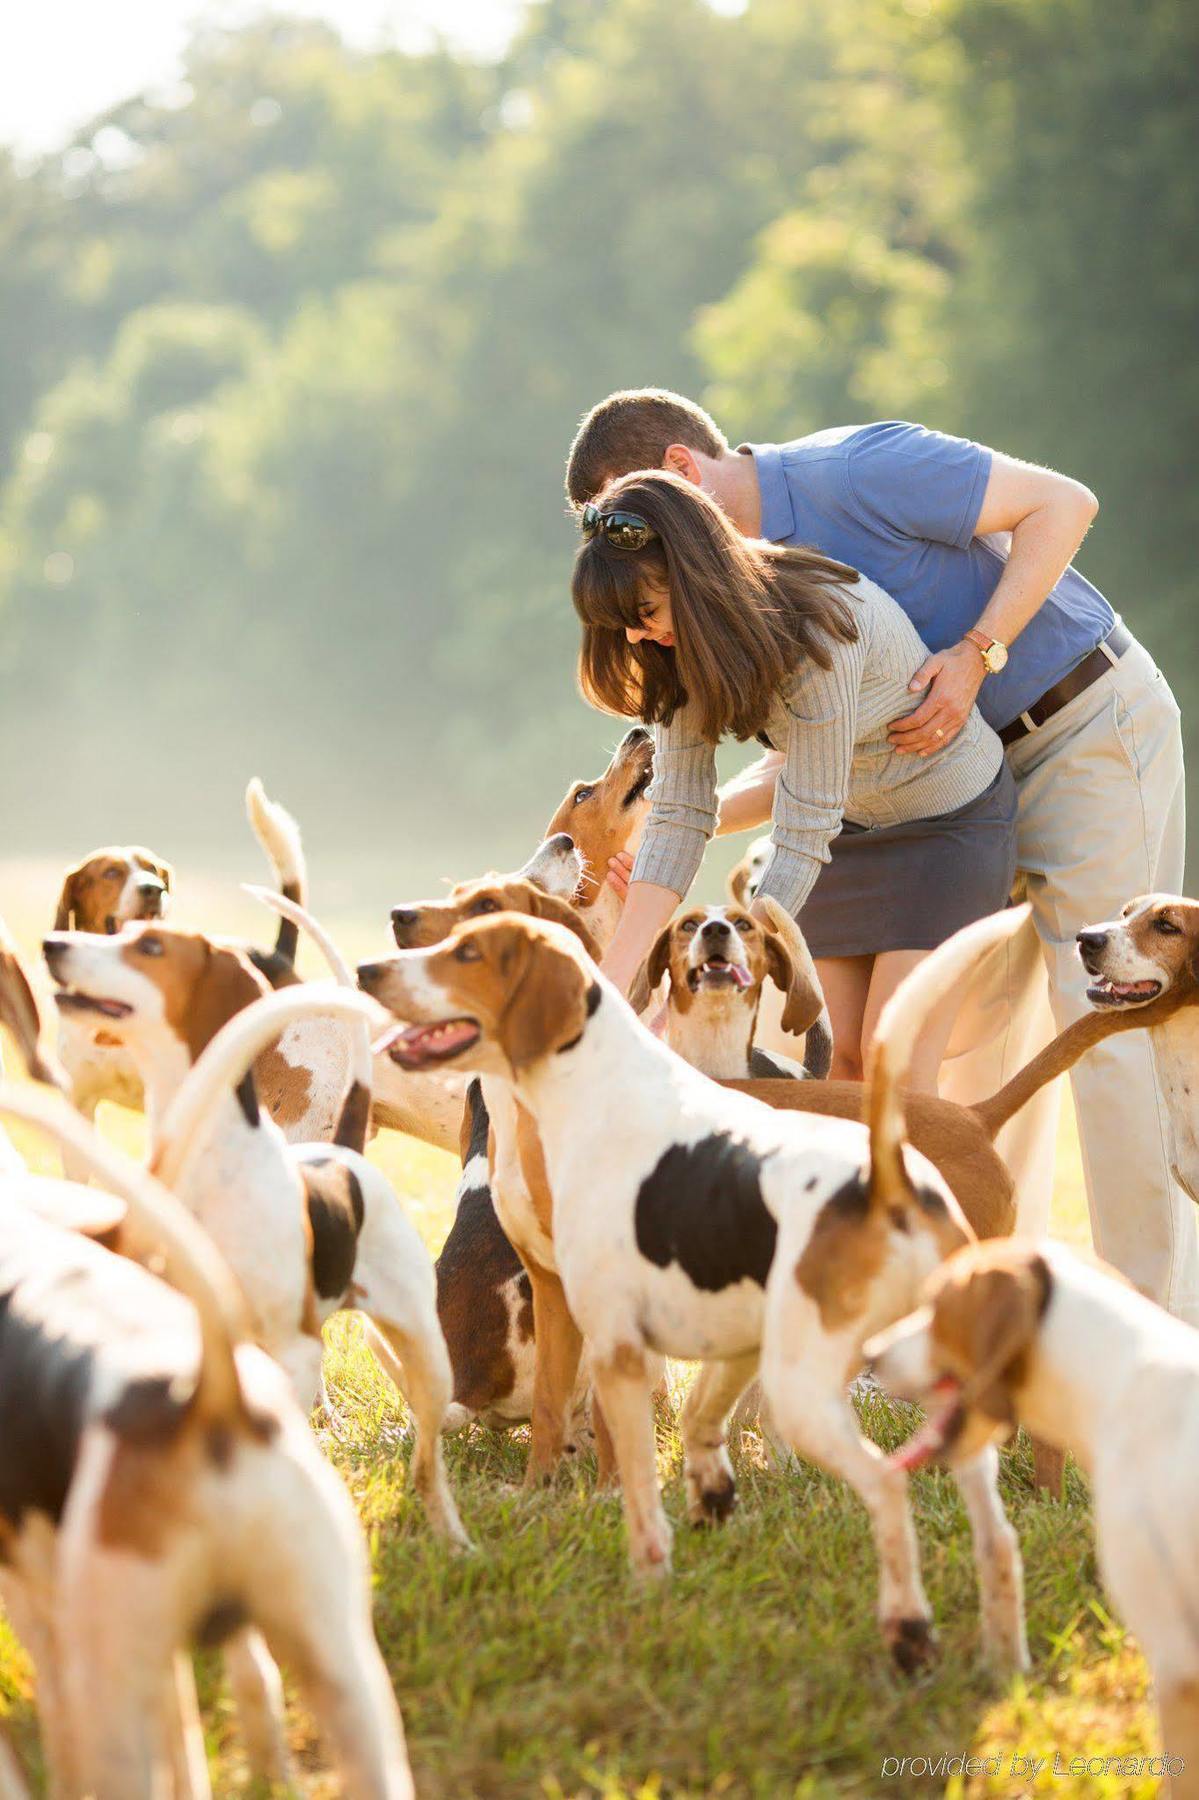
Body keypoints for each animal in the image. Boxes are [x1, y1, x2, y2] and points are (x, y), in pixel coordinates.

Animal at [38, 928, 468, 1548]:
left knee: (429, 1457)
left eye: (150, 946)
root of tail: (343, 1155)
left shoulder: (295, 1351)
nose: (53, 943)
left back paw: (452, 1536)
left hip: (422, 1348)